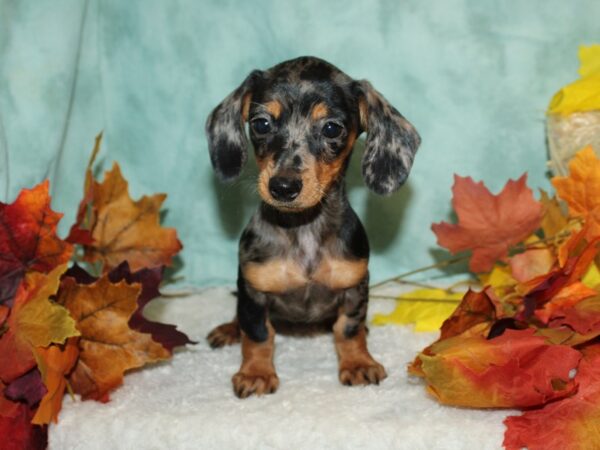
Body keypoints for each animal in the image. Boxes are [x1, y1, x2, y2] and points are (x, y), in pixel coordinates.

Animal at [206, 56, 422, 398]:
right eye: (261, 123)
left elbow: (348, 330)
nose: (283, 187)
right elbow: (257, 334)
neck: (303, 229)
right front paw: (255, 373)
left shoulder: (355, 288)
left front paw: (358, 364)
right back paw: (229, 329)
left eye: (332, 127)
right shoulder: (252, 291)